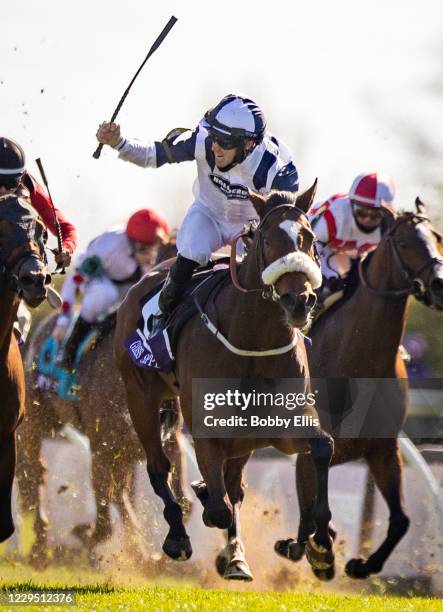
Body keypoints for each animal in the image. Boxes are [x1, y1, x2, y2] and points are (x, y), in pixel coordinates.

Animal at [116, 184, 338, 580]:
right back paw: (178, 536)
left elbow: (322, 446)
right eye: (266, 239)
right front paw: (203, 499)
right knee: (159, 468)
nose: (299, 300)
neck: (254, 341)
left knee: (233, 486)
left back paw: (235, 556)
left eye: (308, 238)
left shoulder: (281, 424)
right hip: (139, 395)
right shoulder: (207, 426)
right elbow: (215, 507)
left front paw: (319, 543)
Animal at [278, 200, 443, 580]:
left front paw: (363, 564)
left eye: (437, 237)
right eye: (404, 242)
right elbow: (311, 505)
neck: (359, 357)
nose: (441, 285)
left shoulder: (383, 450)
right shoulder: (311, 445)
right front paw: (314, 549)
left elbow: (401, 519)